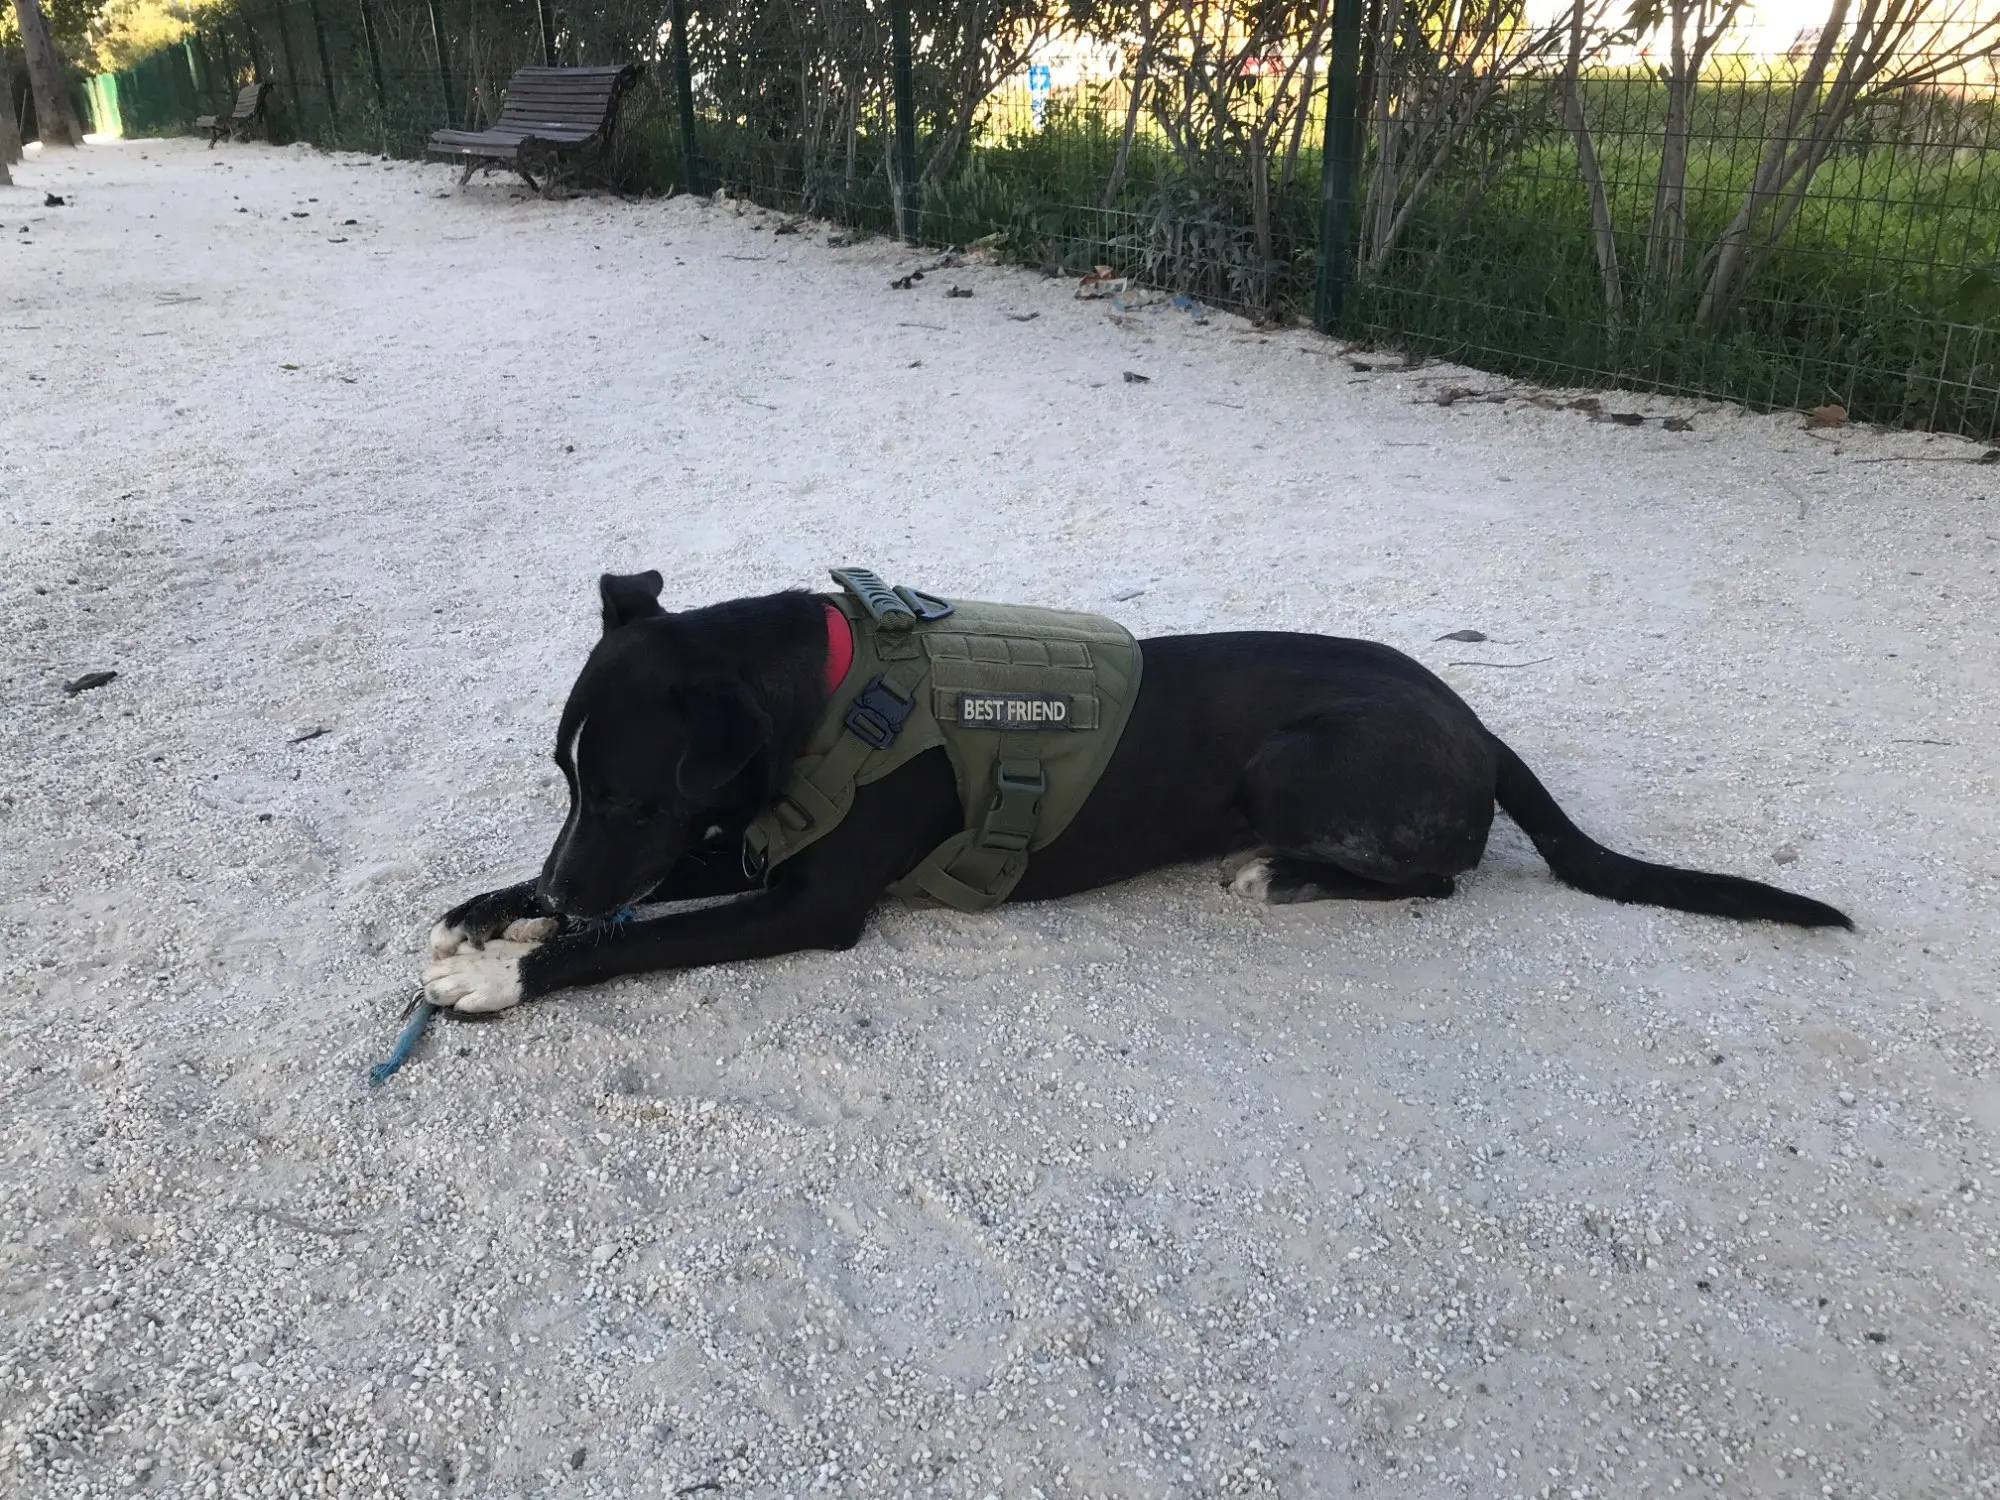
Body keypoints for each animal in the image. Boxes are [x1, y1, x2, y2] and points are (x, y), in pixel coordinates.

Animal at [421, 572, 1850, 1013]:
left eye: (628, 795)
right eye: (567, 781)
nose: (563, 884)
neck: (829, 692)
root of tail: (1480, 728)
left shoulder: (811, 901)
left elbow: (636, 940)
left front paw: (511, 968)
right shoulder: (761, 838)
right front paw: (492, 912)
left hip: (1297, 761)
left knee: (1439, 876)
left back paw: (1280, 872)